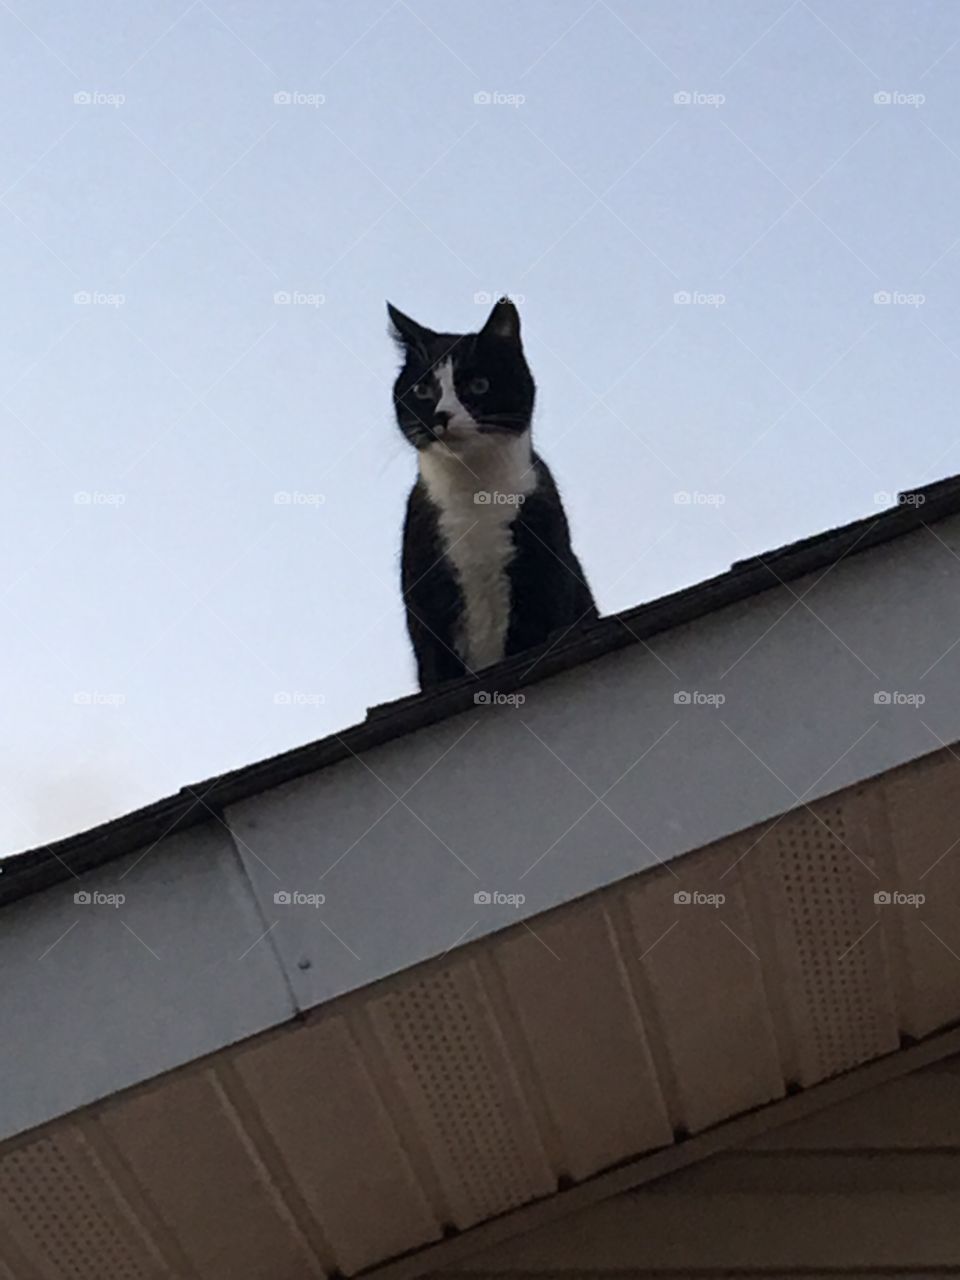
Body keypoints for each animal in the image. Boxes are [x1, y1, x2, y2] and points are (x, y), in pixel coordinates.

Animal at [386, 296, 599, 691]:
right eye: (422, 390)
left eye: (479, 385)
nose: (441, 415)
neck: (475, 494)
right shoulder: (424, 595)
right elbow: (435, 668)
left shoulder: (546, 568)